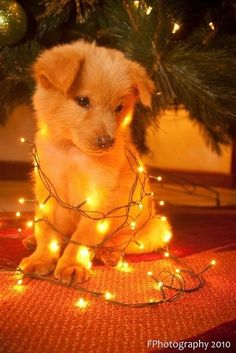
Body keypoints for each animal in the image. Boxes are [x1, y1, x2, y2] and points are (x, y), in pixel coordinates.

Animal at [19, 40, 171, 284]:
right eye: (83, 101)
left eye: (119, 108)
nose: (107, 142)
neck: (72, 153)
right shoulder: (47, 193)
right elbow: (46, 232)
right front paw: (40, 259)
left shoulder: (98, 200)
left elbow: (82, 237)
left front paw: (72, 265)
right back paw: (32, 240)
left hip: (156, 228)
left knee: (124, 243)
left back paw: (109, 253)